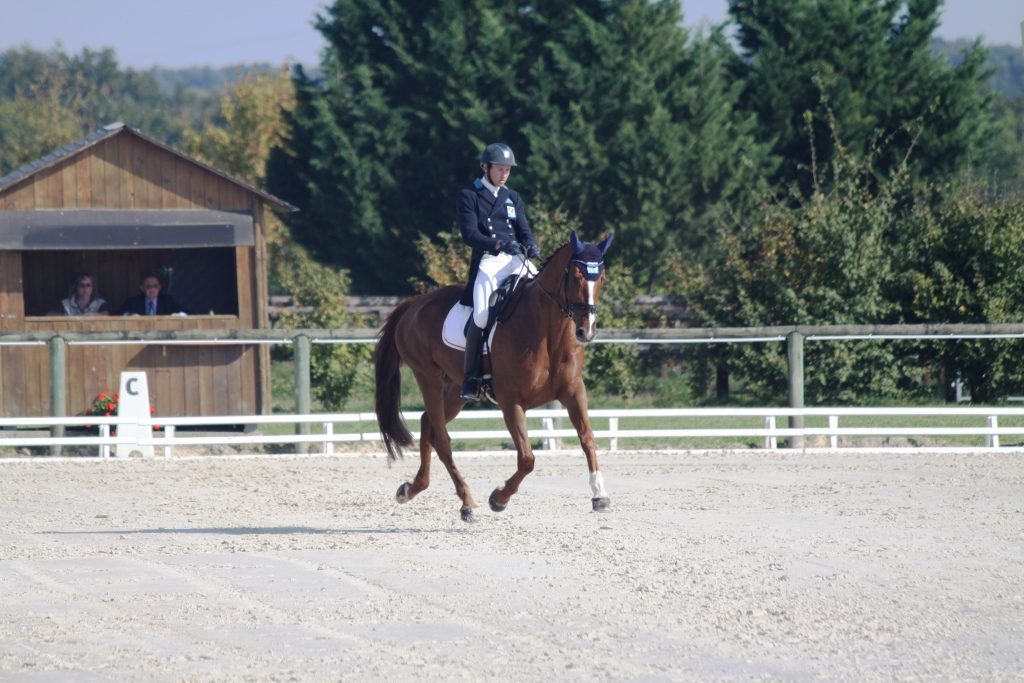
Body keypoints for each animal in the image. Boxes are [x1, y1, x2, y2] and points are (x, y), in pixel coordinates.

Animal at [376, 229, 614, 524]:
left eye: (601, 278)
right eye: (576, 277)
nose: (586, 331)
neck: (547, 330)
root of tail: (414, 304)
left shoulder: (573, 391)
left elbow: (588, 439)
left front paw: (599, 494)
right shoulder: (511, 401)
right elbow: (527, 458)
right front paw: (498, 498)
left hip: (455, 389)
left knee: (427, 423)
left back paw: (412, 488)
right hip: (427, 376)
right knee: (442, 439)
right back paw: (466, 502)